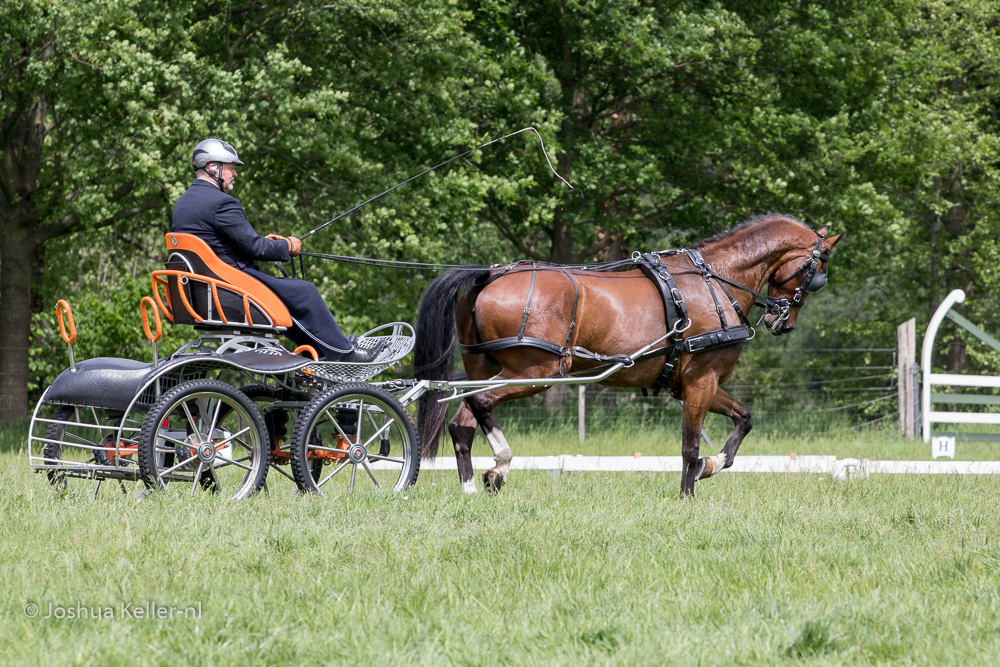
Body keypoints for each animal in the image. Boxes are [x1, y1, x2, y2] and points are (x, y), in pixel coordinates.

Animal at [414, 214, 844, 496]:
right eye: (818, 272)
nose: (782, 321)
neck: (715, 280)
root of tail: (489, 274)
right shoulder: (701, 381)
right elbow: (689, 444)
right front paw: (687, 494)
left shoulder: (693, 384)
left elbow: (744, 418)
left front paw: (710, 467)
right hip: (537, 371)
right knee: (483, 403)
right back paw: (500, 465)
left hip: (487, 366)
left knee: (463, 420)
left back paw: (472, 488)